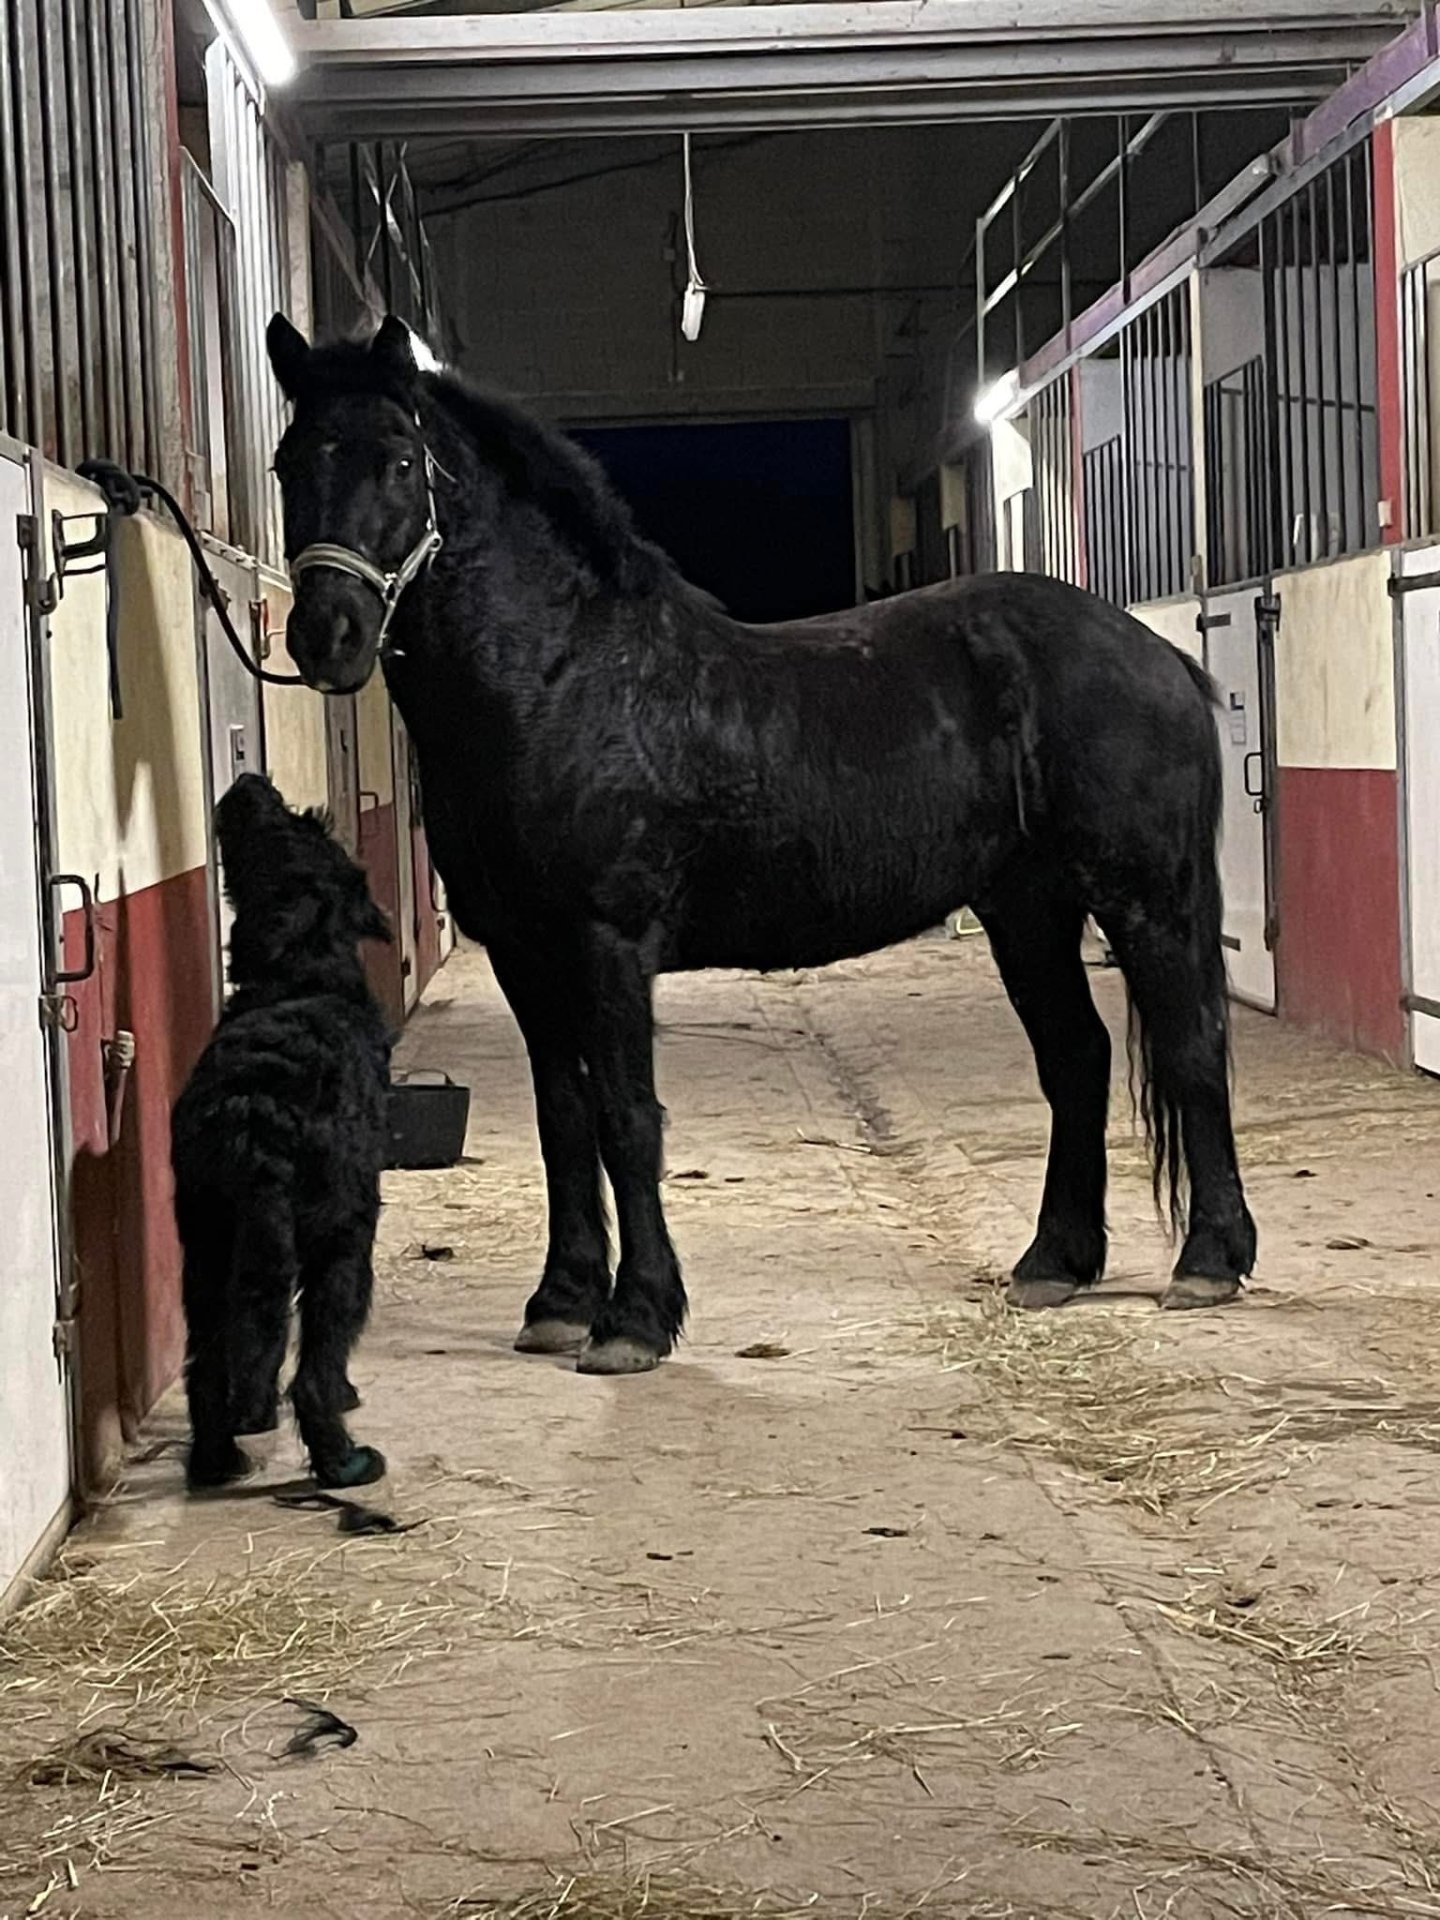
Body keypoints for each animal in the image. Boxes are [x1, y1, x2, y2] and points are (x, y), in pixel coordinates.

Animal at [265, 312, 1256, 1376]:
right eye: (288, 461)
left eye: (401, 460)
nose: (328, 633)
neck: (564, 680)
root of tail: (1160, 657)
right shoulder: (525, 956)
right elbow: (561, 1120)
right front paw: (560, 1302)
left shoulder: (607, 946)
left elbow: (627, 1121)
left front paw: (634, 1319)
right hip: (1027, 910)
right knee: (1077, 1056)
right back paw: (1054, 1264)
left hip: (1146, 899)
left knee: (1191, 1046)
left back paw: (1209, 1260)